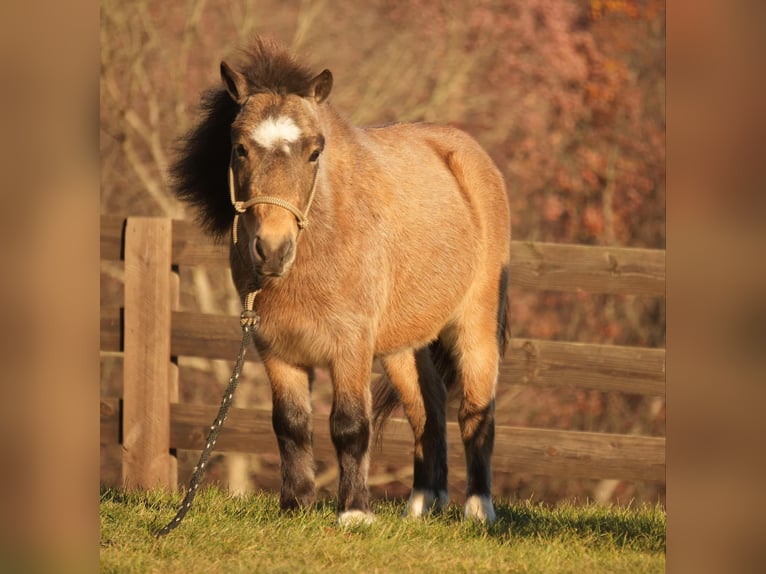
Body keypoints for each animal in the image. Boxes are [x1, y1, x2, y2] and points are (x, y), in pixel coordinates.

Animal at [173, 36, 510, 528]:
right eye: (239, 148)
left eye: (315, 151)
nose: (272, 249)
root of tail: (471, 156)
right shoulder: (277, 350)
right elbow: (290, 424)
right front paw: (296, 505)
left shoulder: (350, 346)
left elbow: (350, 425)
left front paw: (353, 512)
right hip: (401, 345)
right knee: (426, 409)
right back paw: (422, 503)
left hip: (474, 325)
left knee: (476, 410)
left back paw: (479, 508)